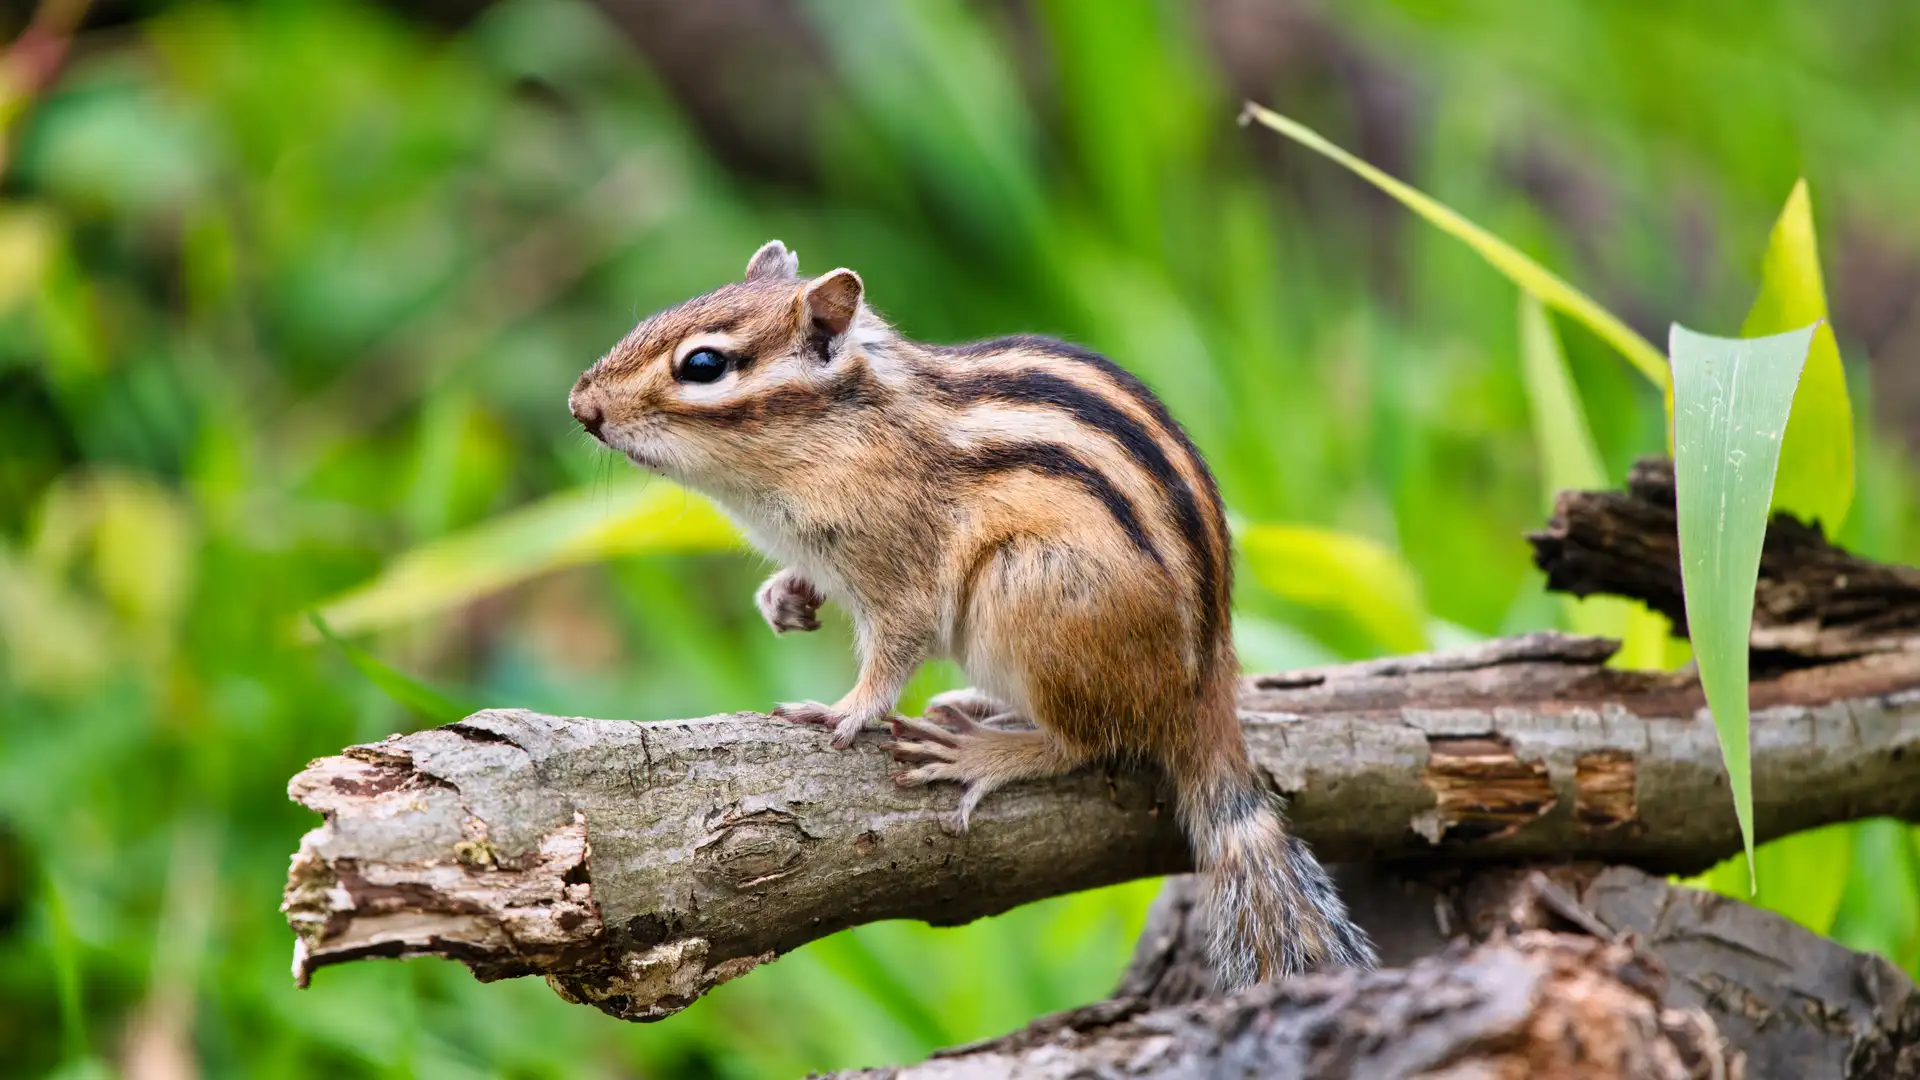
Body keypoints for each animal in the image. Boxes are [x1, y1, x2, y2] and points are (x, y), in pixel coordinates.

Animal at [568, 240, 1377, 986]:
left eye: (703, 365)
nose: (581, 407)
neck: (842, 434)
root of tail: (1206, 690)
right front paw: (785, 598)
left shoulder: (903, 570)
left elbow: (895, 650)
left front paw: (847, 711)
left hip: (1027, 591)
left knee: (1088, 742)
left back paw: (983, 752)